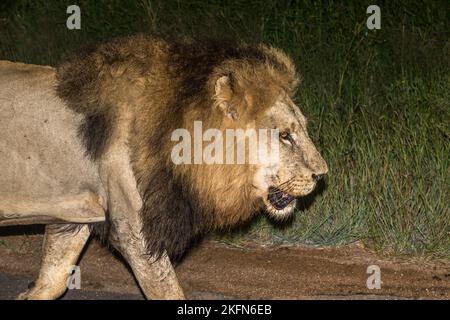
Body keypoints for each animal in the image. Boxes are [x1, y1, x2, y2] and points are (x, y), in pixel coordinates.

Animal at [0, 35, 326, 300]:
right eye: (284, 135)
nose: (321, 175)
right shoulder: (134, 230)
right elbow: (168, 291)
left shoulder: (74, 215)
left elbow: (51, 282)